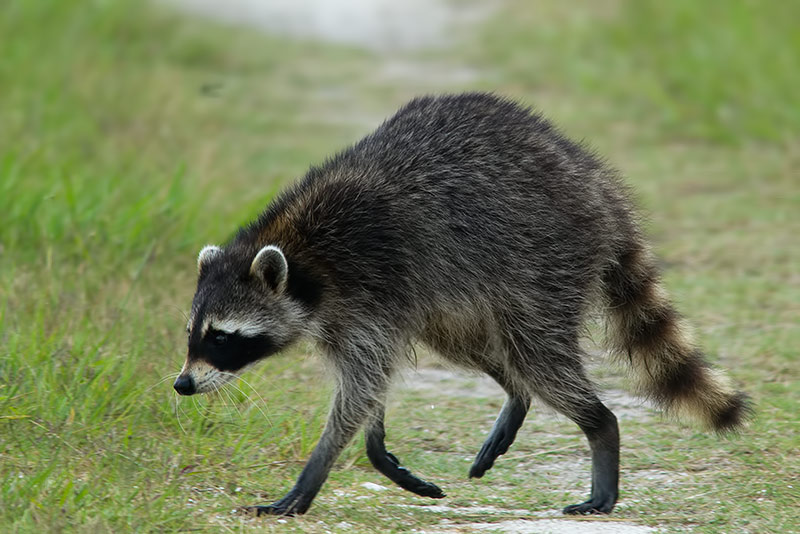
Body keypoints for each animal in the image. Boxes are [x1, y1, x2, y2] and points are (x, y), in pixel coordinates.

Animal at [173, 93, 750, 516]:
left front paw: (313, 472)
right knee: (482, 349)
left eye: (221, 336)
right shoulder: (352, 313)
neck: (305, 258)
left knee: (538, 353)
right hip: (464, 293)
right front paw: (376, 446)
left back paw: (599, 427)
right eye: (192, 333)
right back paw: (517, 395)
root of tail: (595, 180)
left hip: (546, 258)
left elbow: (361, 387)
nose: (182, 384)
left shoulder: (374, 285)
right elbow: (370, 384)